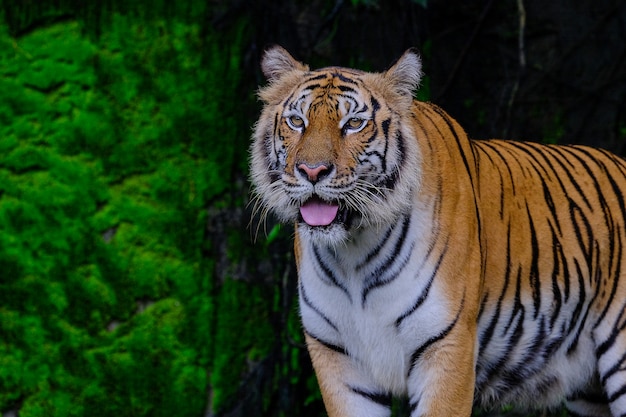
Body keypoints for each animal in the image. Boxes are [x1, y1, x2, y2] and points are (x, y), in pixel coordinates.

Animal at [249, 44, 626, 414]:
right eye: (297, 121)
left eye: (354, 123)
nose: (312, 171)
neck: (353, 252)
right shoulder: (336, 356)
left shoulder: (446, 347)